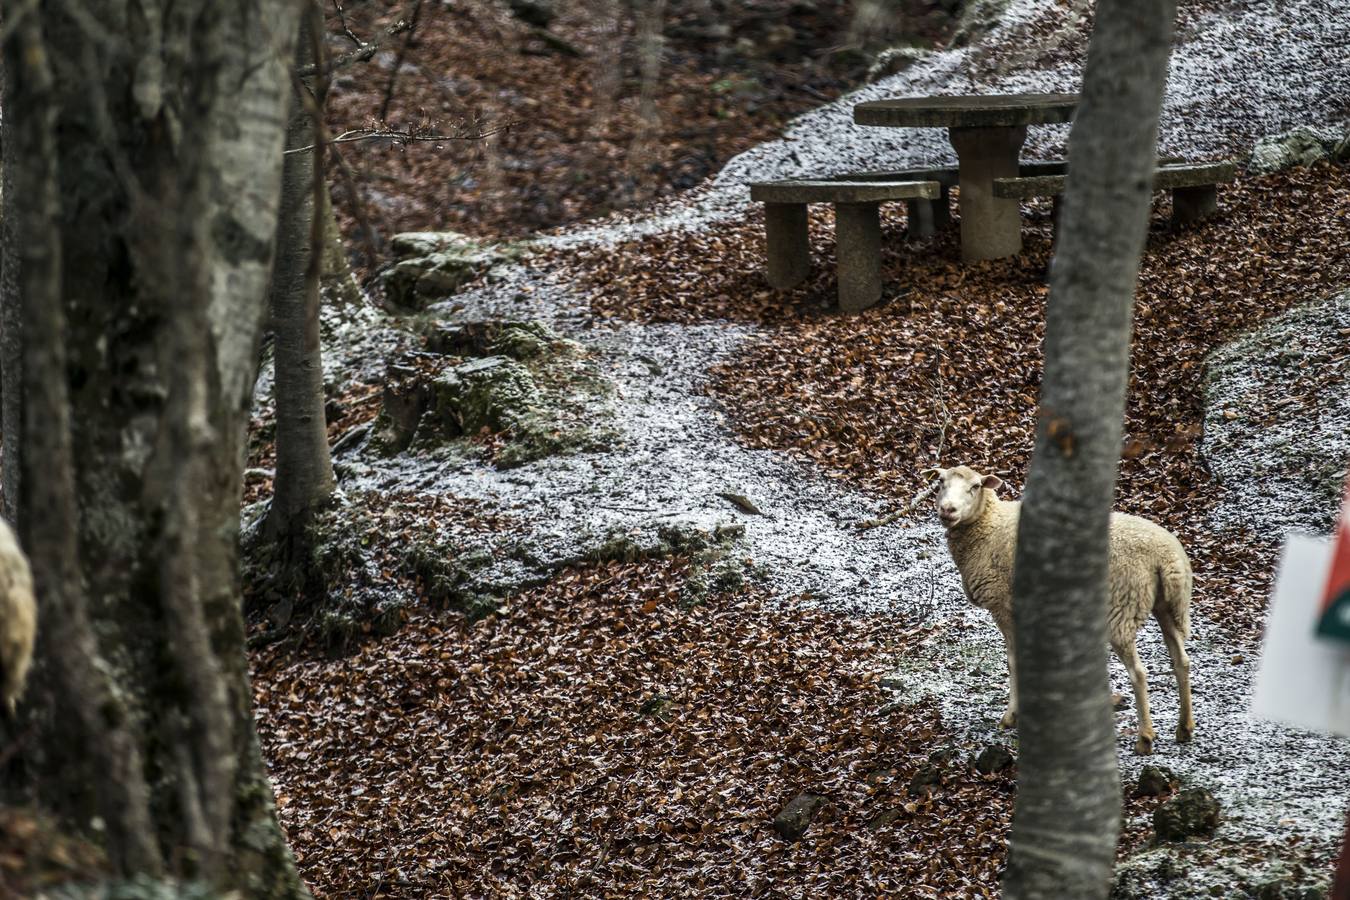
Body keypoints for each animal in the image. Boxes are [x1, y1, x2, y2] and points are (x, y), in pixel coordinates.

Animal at [928, 464, 1193, 755]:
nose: (948, 510)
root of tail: (1166, 557)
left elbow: (1013, 660)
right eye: (940, 482)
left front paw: (1011, 717)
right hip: (1169, 605)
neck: (988, 527)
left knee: (1139, 672)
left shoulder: (1003, 605)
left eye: (975, 487)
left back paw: (1145, 738)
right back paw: (1184, 728)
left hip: (1121, 609)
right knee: (1181, 660)